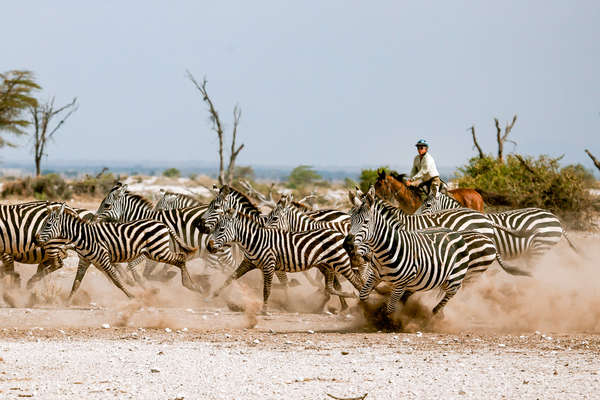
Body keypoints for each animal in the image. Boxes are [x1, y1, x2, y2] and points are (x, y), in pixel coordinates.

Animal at [34, 205, 197, 298]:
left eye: (47, 224)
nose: (35, 239)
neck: (83, 237)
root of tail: (163, 224)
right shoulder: (85, 261)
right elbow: (76, 283)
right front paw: (67, 302)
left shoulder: (103, 259)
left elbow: (116, 280)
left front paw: (131, 296)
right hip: (155, 251)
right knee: (180, 258)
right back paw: (191, 285)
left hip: (158, 251)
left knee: (180, 258)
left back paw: (191, 285)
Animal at [206, 208, 366, 314]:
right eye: (214, 228)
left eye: (221, 229)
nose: (209, 246)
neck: (254, 241)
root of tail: (339, 233)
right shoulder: (248, 263)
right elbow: (230, 277)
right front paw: (212, 295)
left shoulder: (269, 266)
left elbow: (267, 289)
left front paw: (264, 310)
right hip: (327, 265)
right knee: (331, 287)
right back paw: (349, 299)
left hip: (341, 262)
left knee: (356, 281)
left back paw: (361, 303)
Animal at [344, 188, 472, 316]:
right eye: (350, 220)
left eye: (366, 222)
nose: (347, 245)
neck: (385, 252)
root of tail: (455, 232)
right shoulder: (375, 275)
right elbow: (363, 295)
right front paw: (368, 311)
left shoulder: (401, 284)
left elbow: (390, 309)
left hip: (453, 279)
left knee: (452, 293)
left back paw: (436, 313)